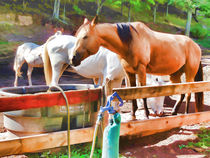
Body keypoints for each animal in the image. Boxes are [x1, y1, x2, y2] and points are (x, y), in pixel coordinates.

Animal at [69, 16, 203, 119]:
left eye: (85, 36)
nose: (73, 58)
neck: (130, 41)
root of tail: (196, 45)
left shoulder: (141, 70)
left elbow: (142, 91)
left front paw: (146, 114)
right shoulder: (129, 72)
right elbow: (132, 91)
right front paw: (133, 114)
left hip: (189, 74)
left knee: (189, 92)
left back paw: (186, 113)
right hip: (175, 75)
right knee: (182, 92)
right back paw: (174, 112)